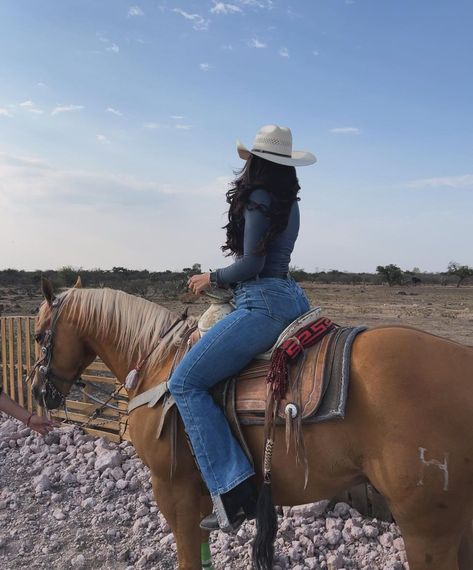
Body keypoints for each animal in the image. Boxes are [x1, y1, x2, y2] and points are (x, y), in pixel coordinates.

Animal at [32, 280, 472, 568]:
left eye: (38, 336)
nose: (38, 391)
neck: (157, 360)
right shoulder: (197, 497)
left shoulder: (173, 489)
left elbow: (188, 558)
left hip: (427, 528)